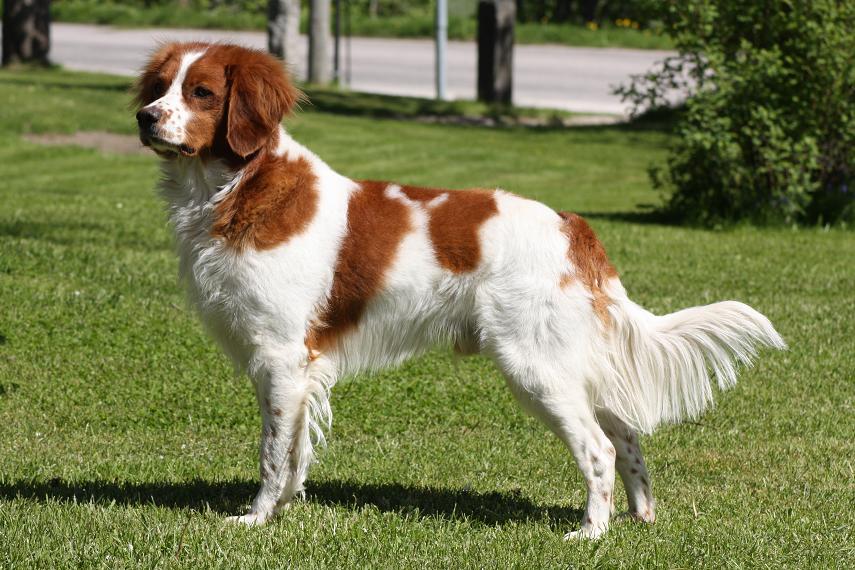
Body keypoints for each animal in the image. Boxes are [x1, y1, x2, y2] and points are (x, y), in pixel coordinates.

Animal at [133, 42, 785, 539]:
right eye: (162, 85)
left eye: (202, 93)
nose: (144, 116)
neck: (238, 187)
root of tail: (571, 226)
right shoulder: (296, 365)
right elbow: (295, 452)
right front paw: (287, 510)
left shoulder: (280, 354)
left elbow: (273, 453)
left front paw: (256, 518)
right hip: (571, 363)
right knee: (626, 435)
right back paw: (639, 516)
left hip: (534, 364)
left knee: (598, 448)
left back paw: (590, 533)